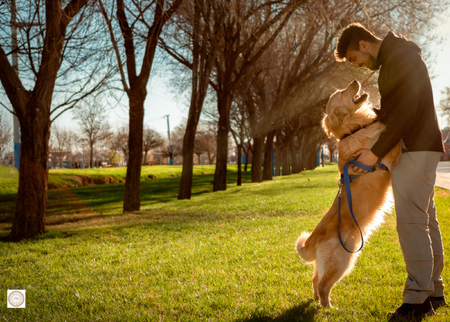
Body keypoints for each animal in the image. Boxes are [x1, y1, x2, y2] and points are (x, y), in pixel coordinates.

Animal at [296, 80, 400, 306]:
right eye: (342, 92)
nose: (355, 81)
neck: (353, 130)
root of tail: (313, 239)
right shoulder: (386, 151)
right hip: (343, 258)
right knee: (324, 285)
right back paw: (328, 307)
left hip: (326, 262)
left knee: (315, 279)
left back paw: (316, 301)